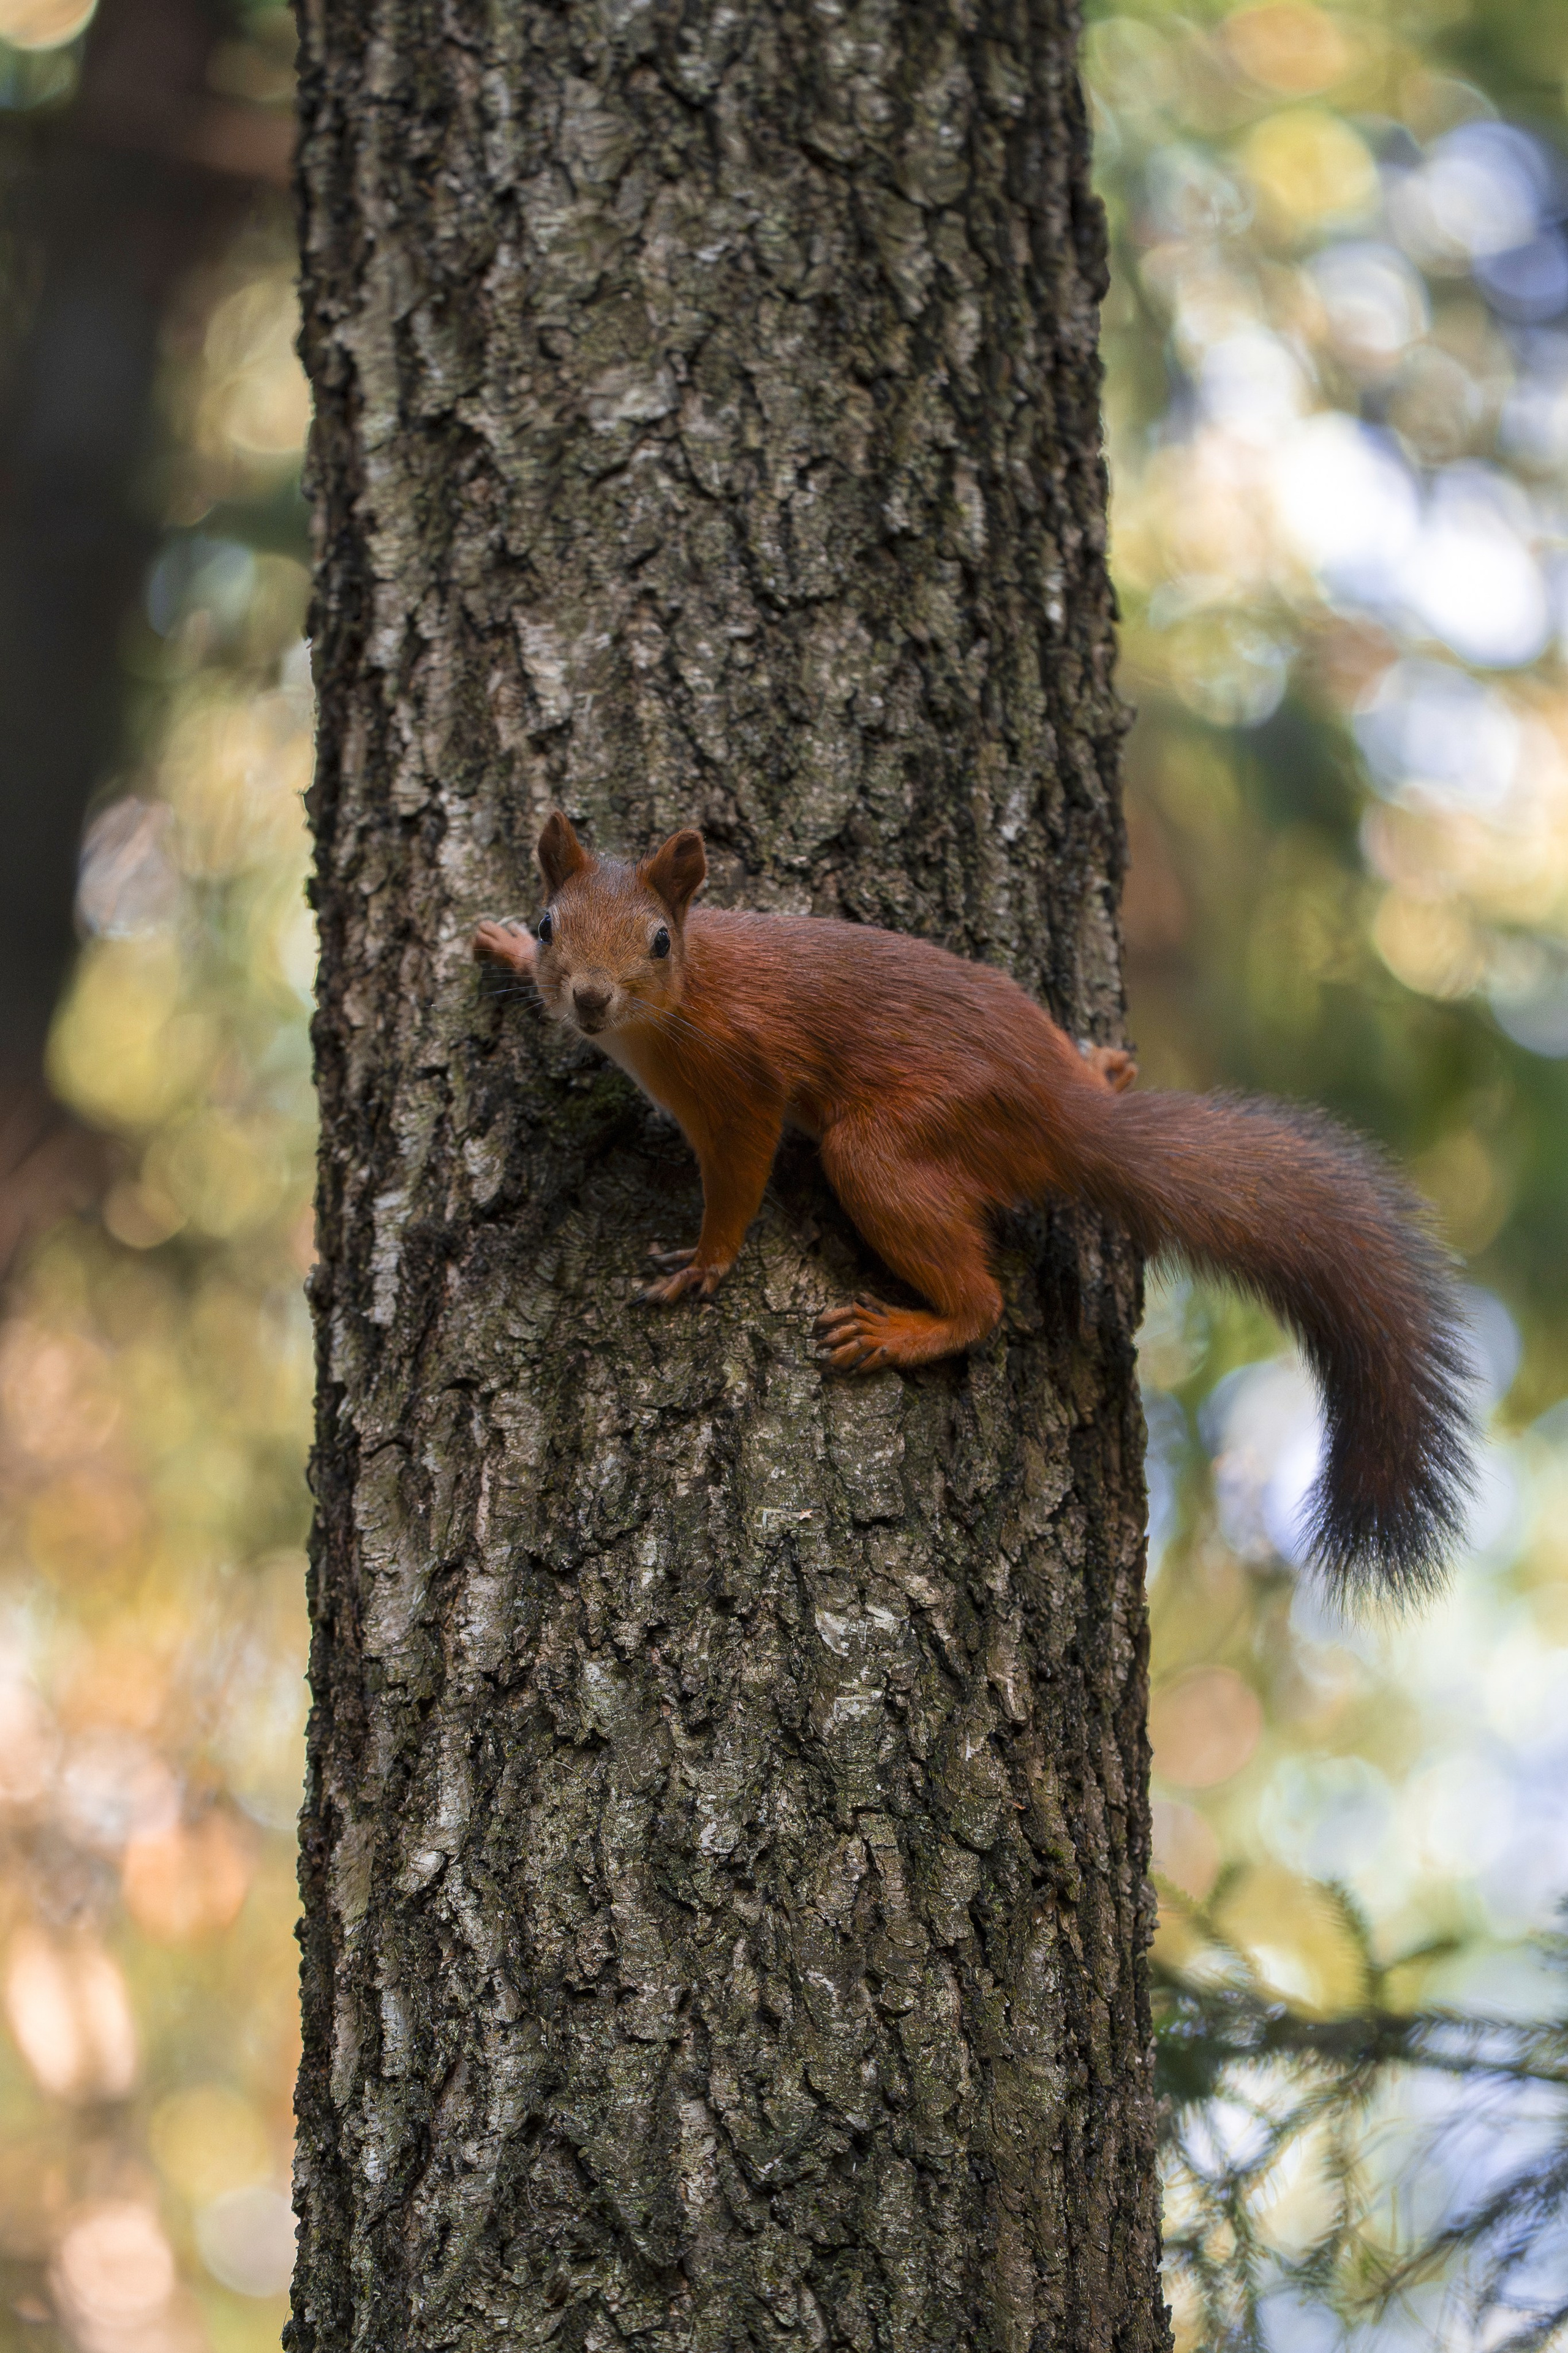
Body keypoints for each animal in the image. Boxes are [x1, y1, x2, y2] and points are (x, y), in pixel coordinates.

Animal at [473, 812, 1476, 1604]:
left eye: (657, 941)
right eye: (549, 920)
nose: (588, 998)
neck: (680, 1004)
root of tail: (1064, 1117)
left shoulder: (743, 1087)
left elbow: (739, 1181)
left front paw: (701, 1262)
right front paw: (499, 946)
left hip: (883, 1152)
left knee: (983, 1302)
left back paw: (906, 1331)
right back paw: (1106, 1064)